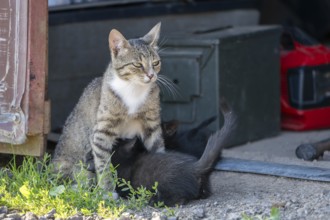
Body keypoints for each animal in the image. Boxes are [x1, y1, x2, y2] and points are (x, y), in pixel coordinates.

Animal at [52, 22, 165, 191]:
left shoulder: (152, 125)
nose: (152, 75)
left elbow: (159, 149)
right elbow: (103, 164)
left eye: (156, 63)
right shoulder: (101, 132)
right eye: (138, 64)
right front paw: (107, 191)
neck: (134, 89)